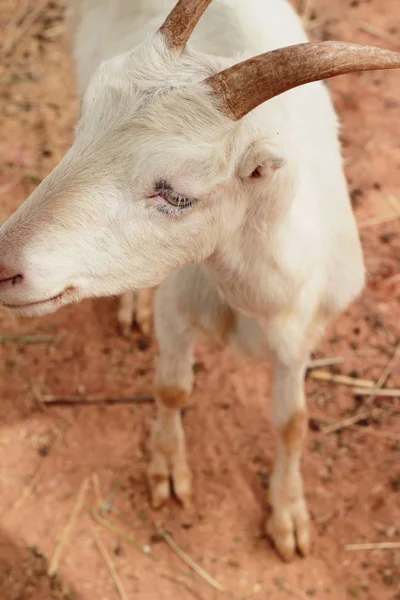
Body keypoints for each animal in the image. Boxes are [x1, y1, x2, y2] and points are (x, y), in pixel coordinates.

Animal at [0, 0, 400, 564]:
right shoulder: (176, 307)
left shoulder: (302, 336)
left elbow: (292, 423)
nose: (4, 264)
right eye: (83, 128)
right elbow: (171, 388)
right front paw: (168, 472)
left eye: (178, 195)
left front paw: (289, 518)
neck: (251, 299)